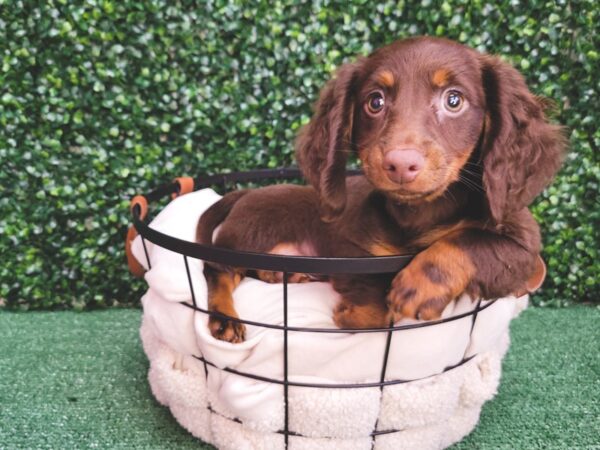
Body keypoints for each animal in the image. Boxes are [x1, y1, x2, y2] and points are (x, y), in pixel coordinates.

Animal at [198, 37, 568, 342]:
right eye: (375, 101)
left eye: (454, 100)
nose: (401, 164)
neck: (419, 213)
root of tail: (245, 193)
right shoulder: (347, 247)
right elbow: (373, 293)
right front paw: (357, 312)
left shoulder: (523, 243)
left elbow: (473, 242)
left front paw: (419, 286)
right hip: (250, 234)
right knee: (217, 270)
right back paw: (225, 318)